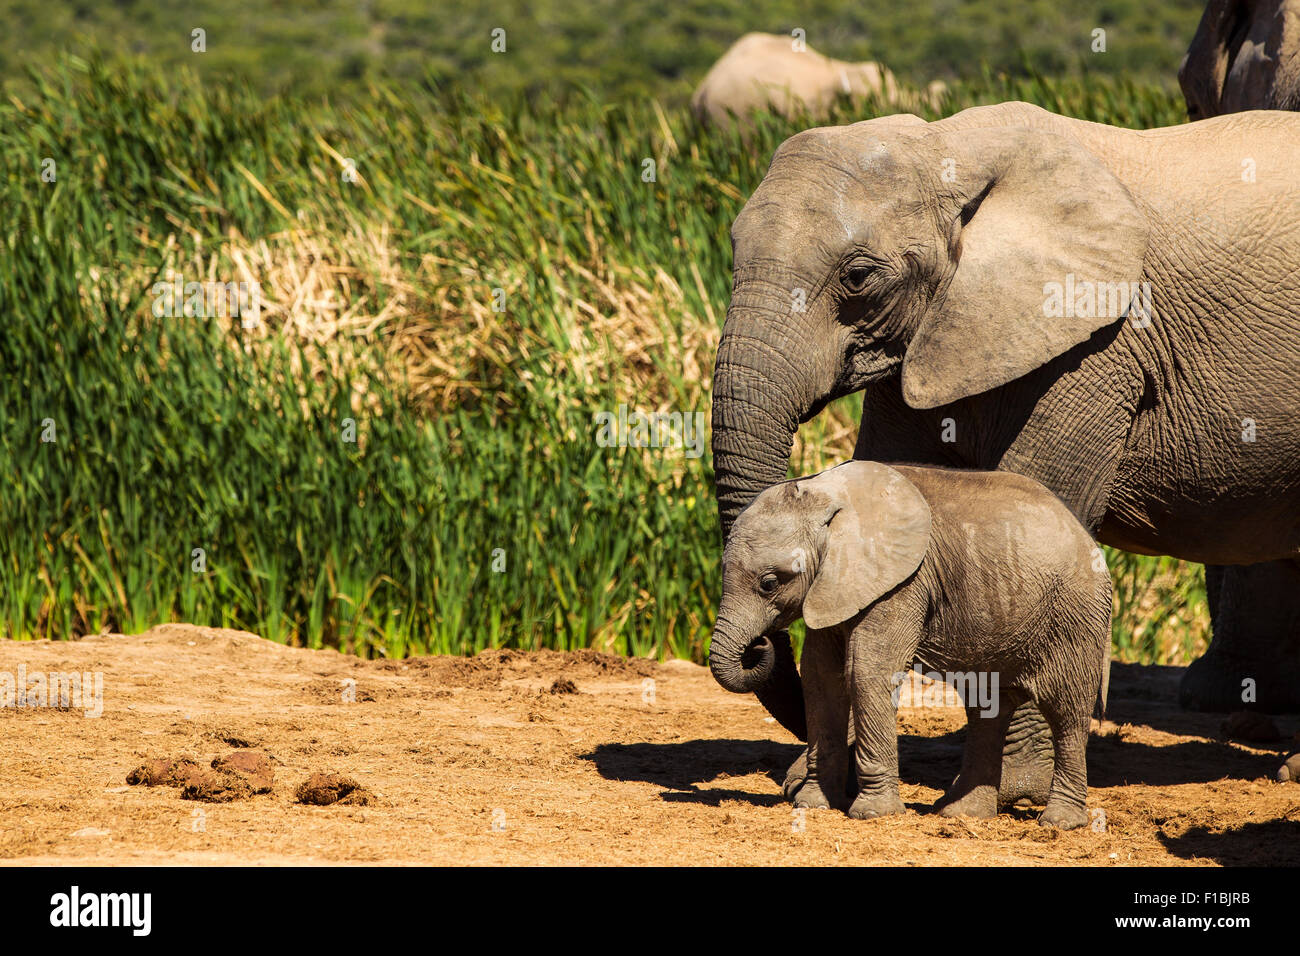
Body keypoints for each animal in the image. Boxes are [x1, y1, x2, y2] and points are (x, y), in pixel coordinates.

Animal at [711, 461, 1111, 828]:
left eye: (769, 583)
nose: (759, 644)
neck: (827, 494)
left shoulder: (903, 583)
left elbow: (868, 670)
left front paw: (873, 814)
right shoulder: (833, 585)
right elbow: (820, 676)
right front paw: (813, 805)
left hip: (1074, 617)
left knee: (1067, 710)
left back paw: (1060, 823)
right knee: (987, 708)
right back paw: (961, 814)